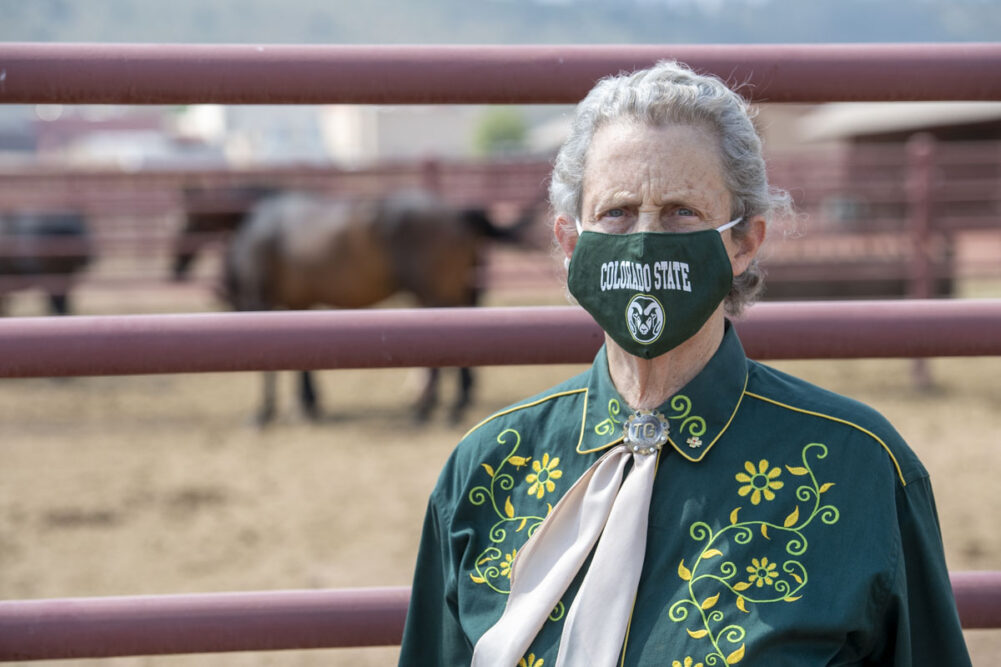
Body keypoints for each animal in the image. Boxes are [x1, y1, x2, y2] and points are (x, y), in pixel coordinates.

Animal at [217, 189, 532, 422]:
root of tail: (457, 212)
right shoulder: (298, 305)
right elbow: (301, 363)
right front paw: (309, 404)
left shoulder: (261, 300)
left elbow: (268, 368)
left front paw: (264, 412)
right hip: (454, 291)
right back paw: (454, 404)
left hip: (435, 295)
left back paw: (426, 410)